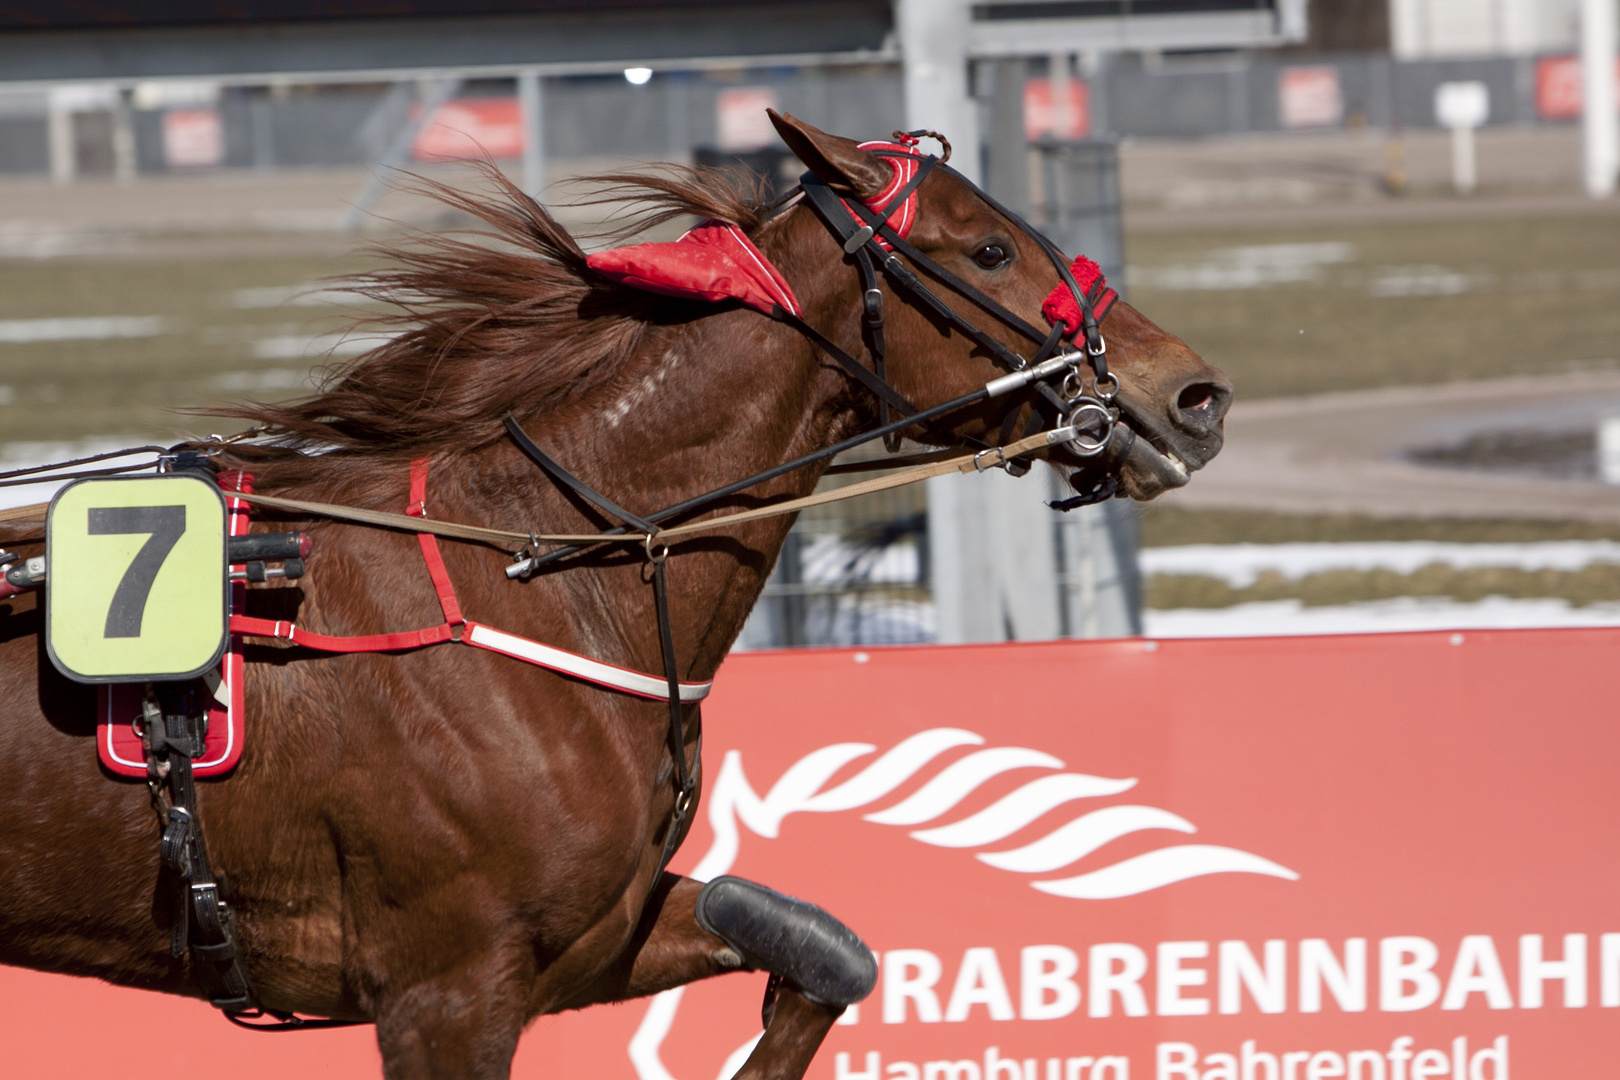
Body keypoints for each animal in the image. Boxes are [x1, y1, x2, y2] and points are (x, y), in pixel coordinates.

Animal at [0, 114, 1224, 1075]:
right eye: (989, 246)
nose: (1194, 394)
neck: (533, 571)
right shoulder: (445, 990)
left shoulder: (589, 941)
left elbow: (819, 951)